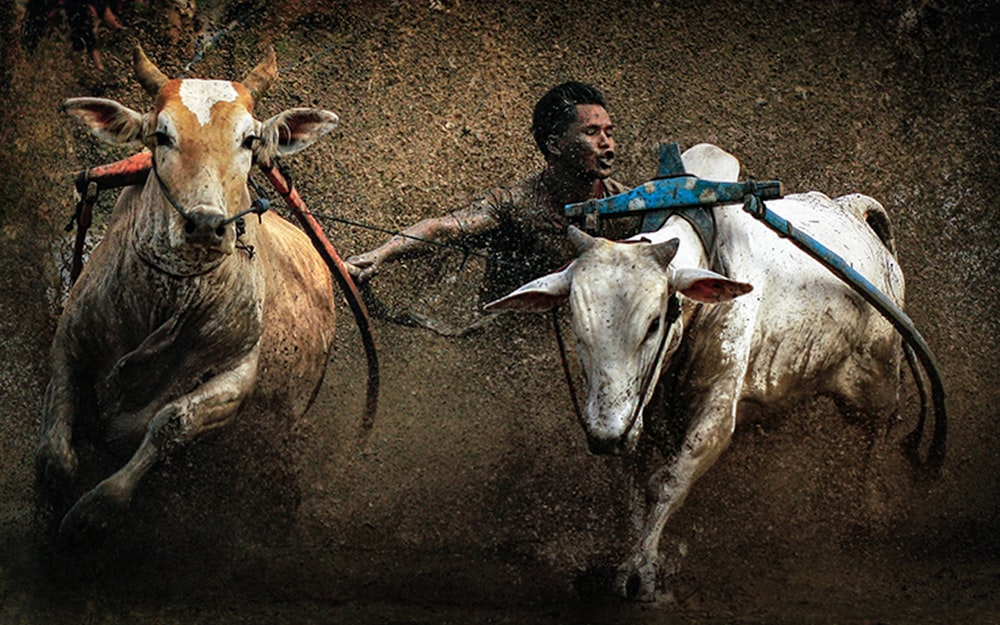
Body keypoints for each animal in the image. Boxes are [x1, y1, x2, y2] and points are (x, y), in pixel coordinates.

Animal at [37, 46, 342, 544]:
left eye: (249, 140)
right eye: (161, 134)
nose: (204, 223)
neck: (170, 296)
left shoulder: (238, 377)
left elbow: (171, 421)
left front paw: (95, 510)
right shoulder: (70, 341)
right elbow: (56, 450)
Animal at [484, 145, 936, 600]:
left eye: (654, 323)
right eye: (578, 326)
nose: (604, 436)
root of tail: (852, 208)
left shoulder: (716, 410)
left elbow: (666, 483)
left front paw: (646, 570)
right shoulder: (631, 416)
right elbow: (633, 493)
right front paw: (629, 564)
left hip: (875, 383)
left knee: (876, 437)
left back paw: (865, 509)